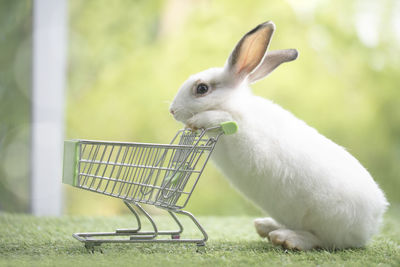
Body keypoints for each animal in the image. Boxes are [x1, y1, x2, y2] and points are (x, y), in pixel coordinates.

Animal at [169, 21, 388, 251]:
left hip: (329, 222)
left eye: (202, 88)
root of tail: (371, 226)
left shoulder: (243, 132)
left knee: (322, 240)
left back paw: (286, 238)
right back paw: (265, 226)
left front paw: (197, 121)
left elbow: (222, 118)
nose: (172, 110)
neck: (233, 105)